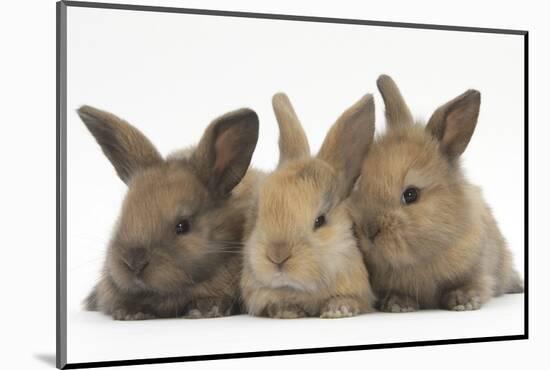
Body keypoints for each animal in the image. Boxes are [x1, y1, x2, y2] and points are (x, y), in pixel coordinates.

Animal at [350, 75, 528, 312]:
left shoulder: (477, 270)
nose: (369, 230)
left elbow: (474, 284)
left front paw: (463, 301)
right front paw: (398, 304)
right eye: (361, 183)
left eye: (411, 194)